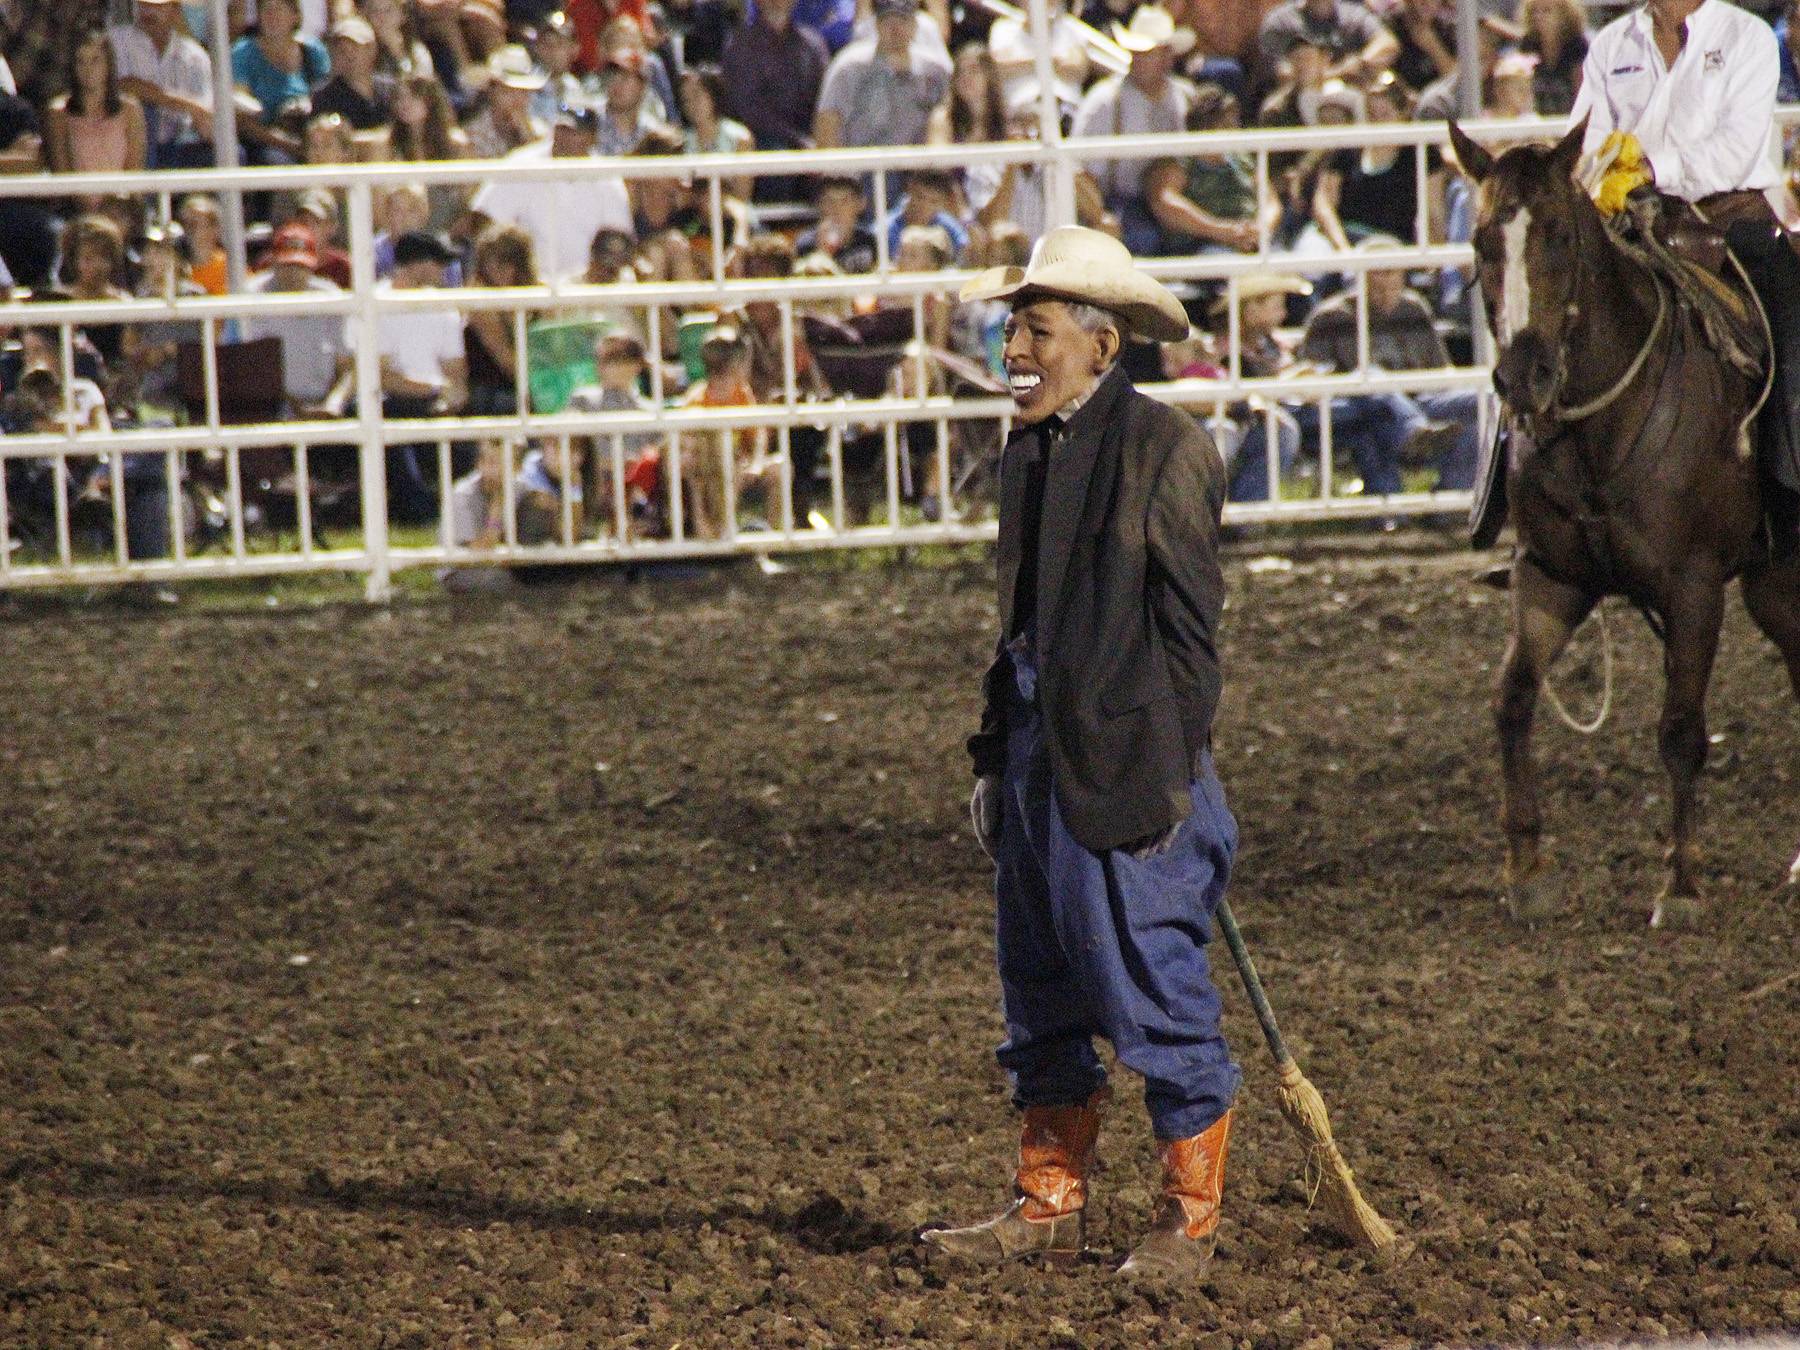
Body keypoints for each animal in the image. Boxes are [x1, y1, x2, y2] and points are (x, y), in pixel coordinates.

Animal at [1447, 118, 1800, 928]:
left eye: (1559, 234)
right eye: (1482, 240)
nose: (1524, 378)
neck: (1598, 429)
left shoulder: (1693, 589)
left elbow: (1680, 731)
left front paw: (1682, 885)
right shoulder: (1551, 580)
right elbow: (1512, 700)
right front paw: (1526, 870)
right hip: (1774, 583)